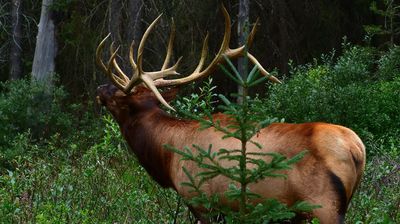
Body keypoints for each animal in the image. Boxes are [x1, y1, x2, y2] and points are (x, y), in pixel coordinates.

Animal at [96, 6, 366, 223]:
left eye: (119, 95)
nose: (99, 88)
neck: (167, 156)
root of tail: (357, 149)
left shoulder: (201, 200)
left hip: (323, 205)